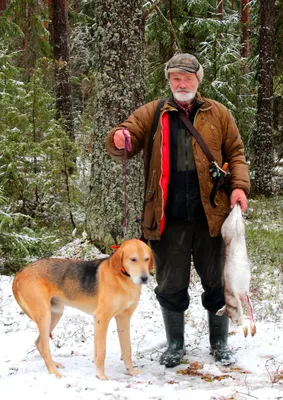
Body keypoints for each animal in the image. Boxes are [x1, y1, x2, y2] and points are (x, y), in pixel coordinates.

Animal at [12, 239, 154, 380]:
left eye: (146, 259)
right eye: (133, 259)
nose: (145, 278)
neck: (122, 278)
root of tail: (20, 273)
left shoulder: (123, 318)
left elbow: (126, 349)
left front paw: (131, 371)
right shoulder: (101, 319)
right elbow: (101, 352)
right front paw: (101, 376)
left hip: (55, 314)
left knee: (39, 343)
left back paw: (54, 365)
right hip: (45, 316)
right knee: (45, 347)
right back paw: (54, 372)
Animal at [217, 203, 258, 338]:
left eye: (229, 314)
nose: (235, 322)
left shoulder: (236, 297)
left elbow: (242, 312)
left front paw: (245, 332)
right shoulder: (245, 296)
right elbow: (250, 310)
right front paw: (252, 331)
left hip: (226, 228)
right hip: (240, 225)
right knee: (238, 214)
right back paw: (238, 204)